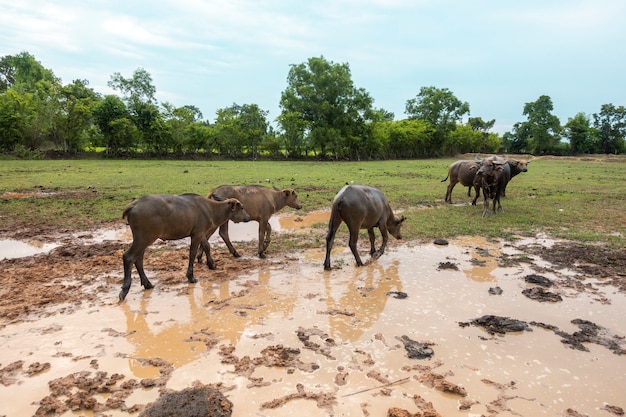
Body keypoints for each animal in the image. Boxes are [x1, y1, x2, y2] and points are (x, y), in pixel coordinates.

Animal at [119, 193, 249, 300]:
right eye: (242, 207)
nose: (248, 217)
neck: (210, 209)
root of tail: (134, 205)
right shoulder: (197, 235)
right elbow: (192, 253)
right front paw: (190, 276)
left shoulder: (200, 233)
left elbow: (207, 246)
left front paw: (211, 264)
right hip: (144, 238)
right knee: (129, 256)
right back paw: (125, 290)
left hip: (143, 240)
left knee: (138, 259)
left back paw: (147, 284)